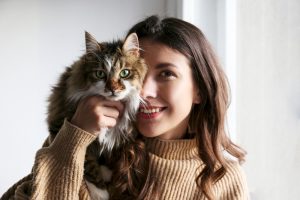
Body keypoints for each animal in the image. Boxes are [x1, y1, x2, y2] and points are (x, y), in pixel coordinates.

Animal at [46, 32, 148, 199]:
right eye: (100, 74)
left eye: (124, 73)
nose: (113, 89)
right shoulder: (60, 122)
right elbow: (87, 164)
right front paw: (101, 193)